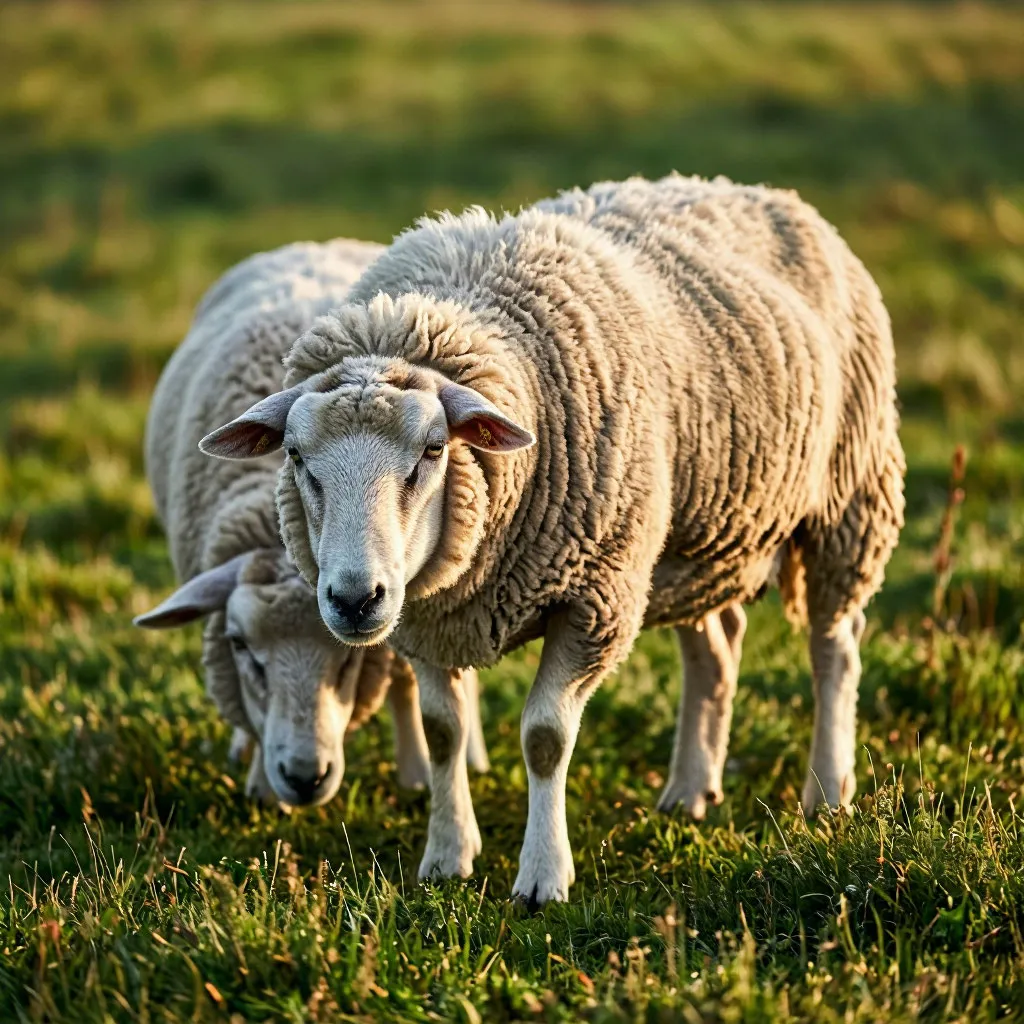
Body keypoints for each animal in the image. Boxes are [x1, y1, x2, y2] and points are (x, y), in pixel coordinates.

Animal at [137, 238, 490, 807]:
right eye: (240, 646)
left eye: (346, 662)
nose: (304, 777)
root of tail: (314, 243)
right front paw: (261, 785)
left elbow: (408, 685)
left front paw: (417, 773)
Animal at [201, 174, 905, 903]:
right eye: (297, 458)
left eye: (432, 451)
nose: (354, 600)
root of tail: (764, 191)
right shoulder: (426, 618)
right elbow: (443, 732)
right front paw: (447, 855)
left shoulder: (595, 600)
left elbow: (544, 738)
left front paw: (542, 876)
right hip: (694, 544)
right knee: (714, 650)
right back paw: (691, 789)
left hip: (848, 499)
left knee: (834, 648)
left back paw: (827, 791)